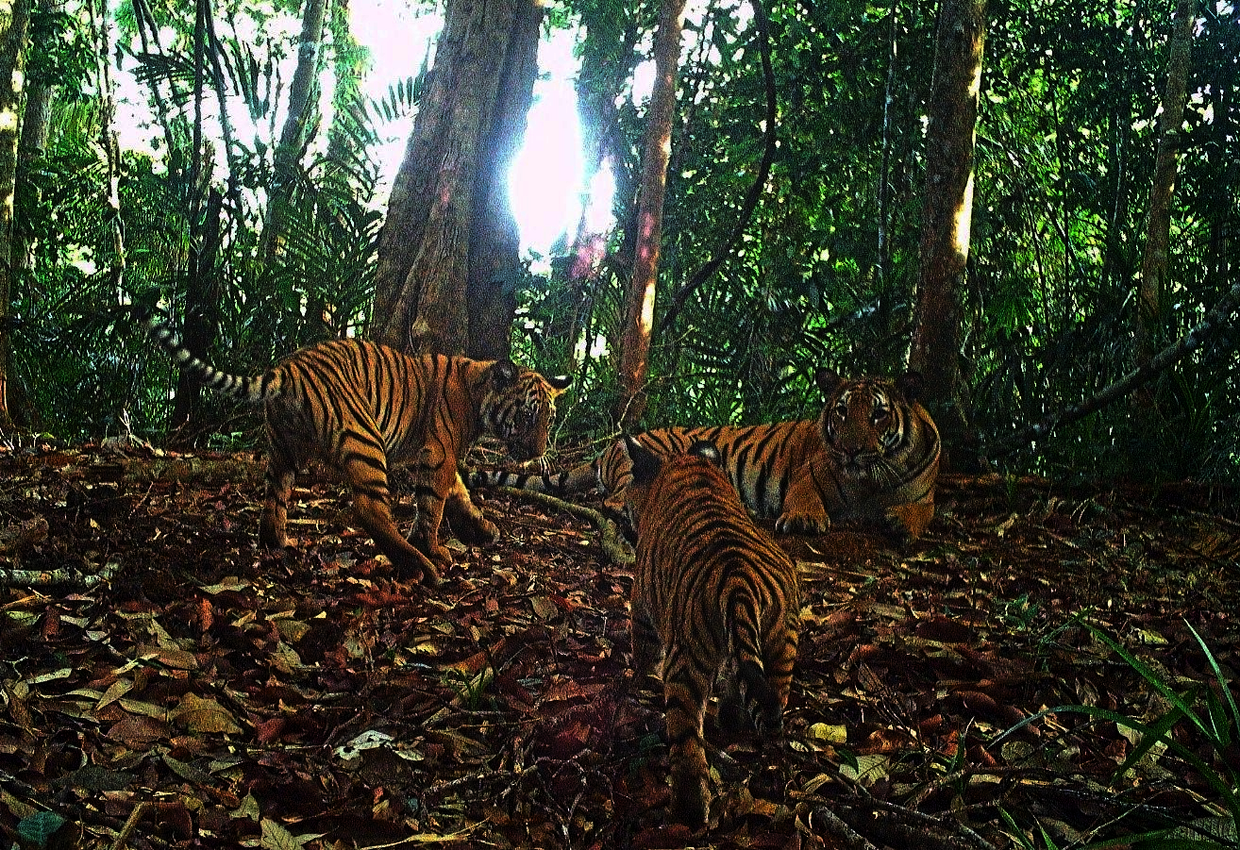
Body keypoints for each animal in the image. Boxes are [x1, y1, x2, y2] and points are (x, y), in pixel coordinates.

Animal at [144, 314, 571, 586]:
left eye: (549, 419)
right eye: (529, 416)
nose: (538, 451)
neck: (478, 393)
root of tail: (288, 369)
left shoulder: (435, 455)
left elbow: (458, 493)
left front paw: (481, 529)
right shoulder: (440, 452)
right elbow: (433, 505)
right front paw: (434, 548)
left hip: (285, 449)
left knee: (274, 496)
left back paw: (276, 543)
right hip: (365, 438)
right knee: (369, 510)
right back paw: (421, 568)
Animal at [472, 369, 940, 541]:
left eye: (878, 414)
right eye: (841, 412)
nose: (851, 450)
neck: (868, 480)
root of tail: (608, 448)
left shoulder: (925, 491)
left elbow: (923, 511)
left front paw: (902, 522)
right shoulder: (808, 473)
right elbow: (805, 497)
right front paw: (805, 519)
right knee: (614, 500)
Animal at [620, 437, 800, 828]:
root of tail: (739, 582)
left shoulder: (641, 603)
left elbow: (643, 655)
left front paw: (638, 682)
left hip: (686, 664)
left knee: (687, 744)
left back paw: (688, 813)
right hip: (782, 641)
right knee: (770, 706)